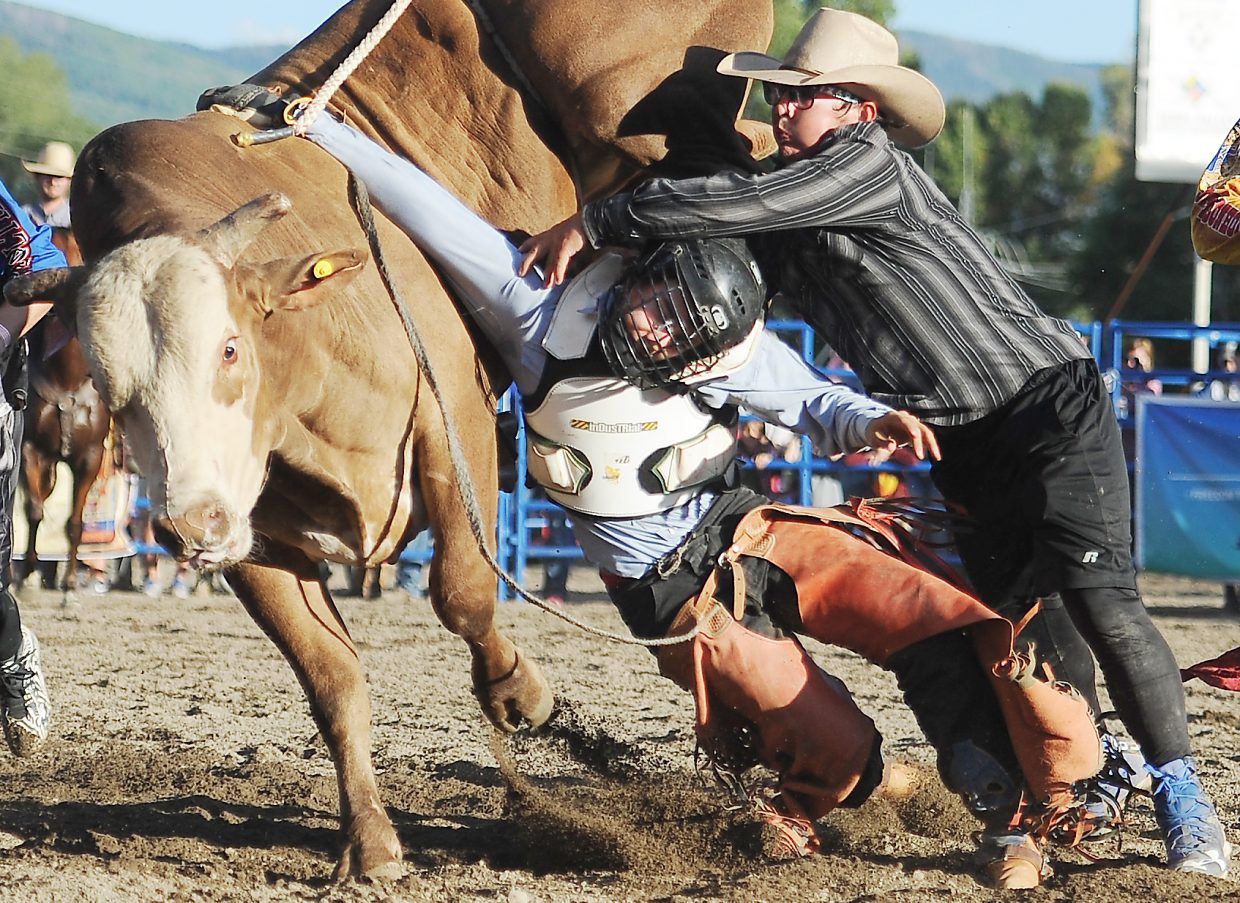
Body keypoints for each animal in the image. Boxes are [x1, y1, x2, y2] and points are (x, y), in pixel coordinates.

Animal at [3, 0, 773, 880]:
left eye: (230, 347)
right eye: (110, 380)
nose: (185, 525)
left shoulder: (454, 426)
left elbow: (462, 591)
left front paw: (521, 692)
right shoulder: (256, 537)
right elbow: (331, 675)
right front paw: (371, 842)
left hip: (645, 106)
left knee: (749, 158)